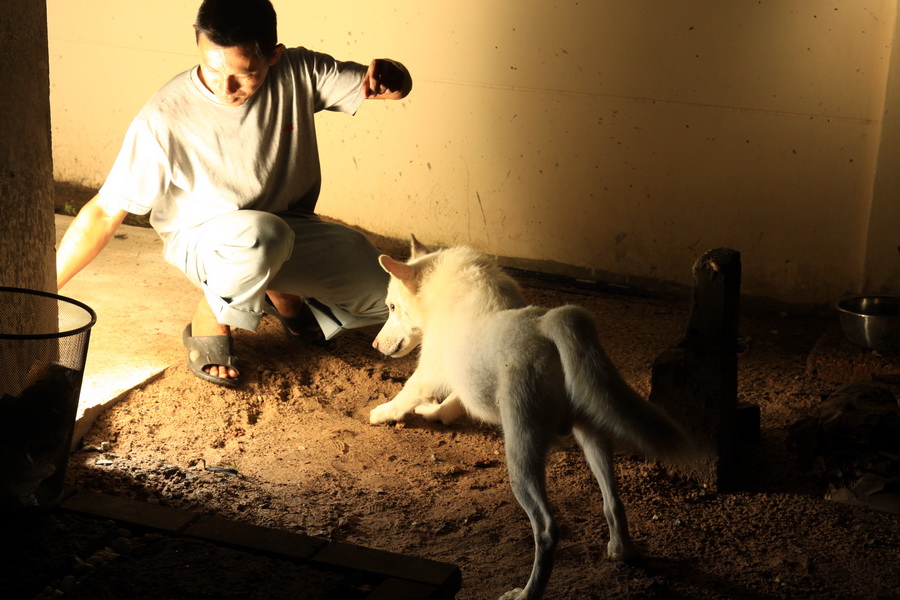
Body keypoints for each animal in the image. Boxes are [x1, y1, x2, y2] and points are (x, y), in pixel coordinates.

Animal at [369, 236, 687, 600]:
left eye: (392, 307)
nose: (374, 344)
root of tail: (546, 329)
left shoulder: (430, 371)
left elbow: (407, 394)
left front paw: (383, 413)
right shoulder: (464, 381)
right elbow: (453, 403)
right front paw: (437, 414)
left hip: (522, 451)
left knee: (547, 529)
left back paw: (526, 593)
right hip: (592, 433)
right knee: (613, 500)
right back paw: (622, 550)